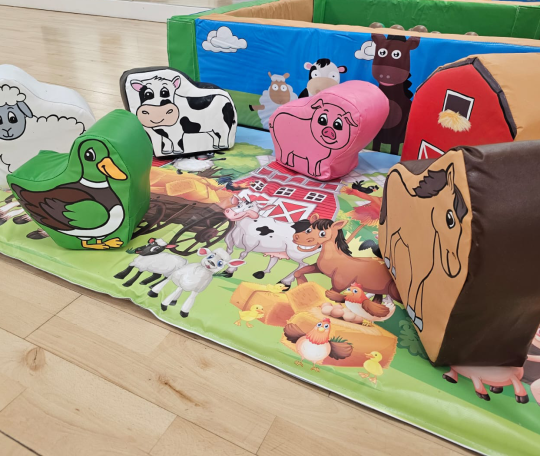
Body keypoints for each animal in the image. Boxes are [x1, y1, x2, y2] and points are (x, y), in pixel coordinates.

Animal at [380, 164, 468, 332]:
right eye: (450, 219)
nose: (455, 269)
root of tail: (394, 173)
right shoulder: (417, 266)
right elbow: (415, 284)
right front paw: (412, 312)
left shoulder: (425, 270)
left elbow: (421, 288)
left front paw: (419, 320)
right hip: (393, 224)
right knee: (388, 237)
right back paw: (387, 260)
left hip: (400, 233)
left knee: (394, 241)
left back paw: (393, 268)